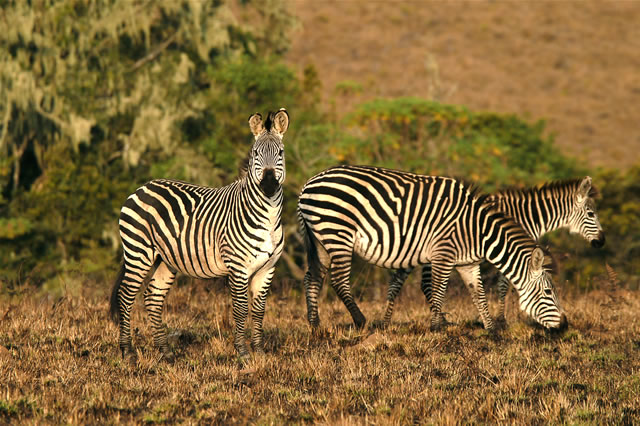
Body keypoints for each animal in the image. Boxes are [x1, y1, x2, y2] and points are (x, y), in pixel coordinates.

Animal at [110, 108, 290, 362]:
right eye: (256, 153)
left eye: (280, 153)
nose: (268, 185)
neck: (268, 217)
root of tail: (143, 187)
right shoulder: (238, 267)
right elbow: (241, 309)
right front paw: (243, 354)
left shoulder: (267, 268)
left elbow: (259, 310)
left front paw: (260, 352)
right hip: (139, 252)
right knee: (126, 296)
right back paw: (128, 352)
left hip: (165, 259)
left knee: (153, 297)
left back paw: (165, 353)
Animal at [298, 165, 568, 334]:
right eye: (548, 292)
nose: (565, 326)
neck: (477, 231)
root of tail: (309, 183)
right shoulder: (443, 254)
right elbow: (438, 291)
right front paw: (437, 328)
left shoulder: (468, 263)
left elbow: (478, 295)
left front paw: (491, 330)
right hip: (337, 232)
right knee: (339, 280)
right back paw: (361, 321)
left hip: (319, 239)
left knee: (313, 277)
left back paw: (315, 324)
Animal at [382, 176, 604, 326]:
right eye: (591, 214)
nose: (601, 242)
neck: (525, 216)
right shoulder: (509, 252)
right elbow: (503, 286)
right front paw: (501, 320)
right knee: (426, 285)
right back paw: (439, 321)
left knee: (397, 281)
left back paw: (386, 322)